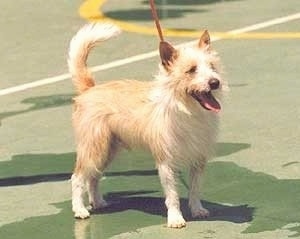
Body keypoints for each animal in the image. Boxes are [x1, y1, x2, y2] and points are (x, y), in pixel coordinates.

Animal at [68, 22, 227, 230]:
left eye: (212, 67)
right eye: (191, 70)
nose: (215, 82)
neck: (187, 110)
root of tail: (90, 88)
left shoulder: (198, 160)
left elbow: (194, 189)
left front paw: (197, 209)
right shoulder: (166, 163)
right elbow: (173, 195)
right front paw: (175, 218)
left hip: (107, 150)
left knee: (93, 177)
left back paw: (98, 202)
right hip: (94, 148)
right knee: (78, 178)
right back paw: (79, 209)